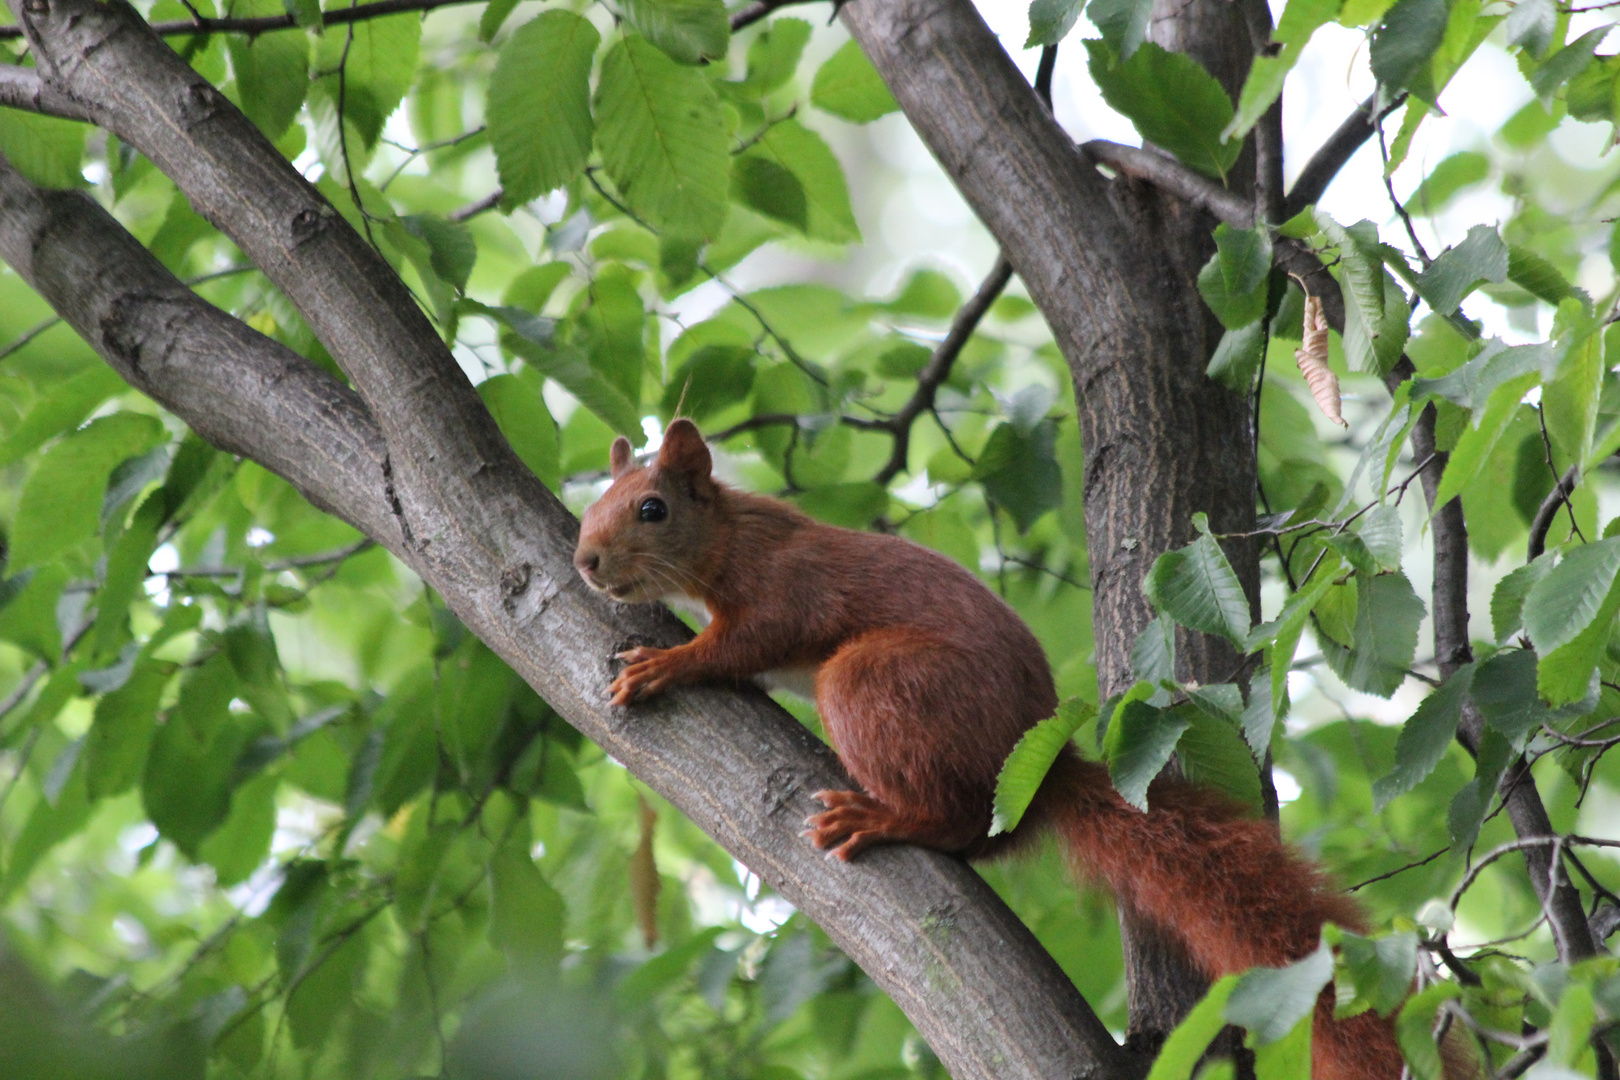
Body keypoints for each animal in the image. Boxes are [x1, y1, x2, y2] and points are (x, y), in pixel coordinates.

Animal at [579, 420, 1406, 1080]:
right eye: (589, 506)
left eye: (652, 509)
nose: (585, 560)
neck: (727, 535)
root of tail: (1036, 769)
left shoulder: (782, 586)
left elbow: (745, 641)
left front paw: (667, 664)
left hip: (876, 683)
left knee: (953, 816)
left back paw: (887, 818)